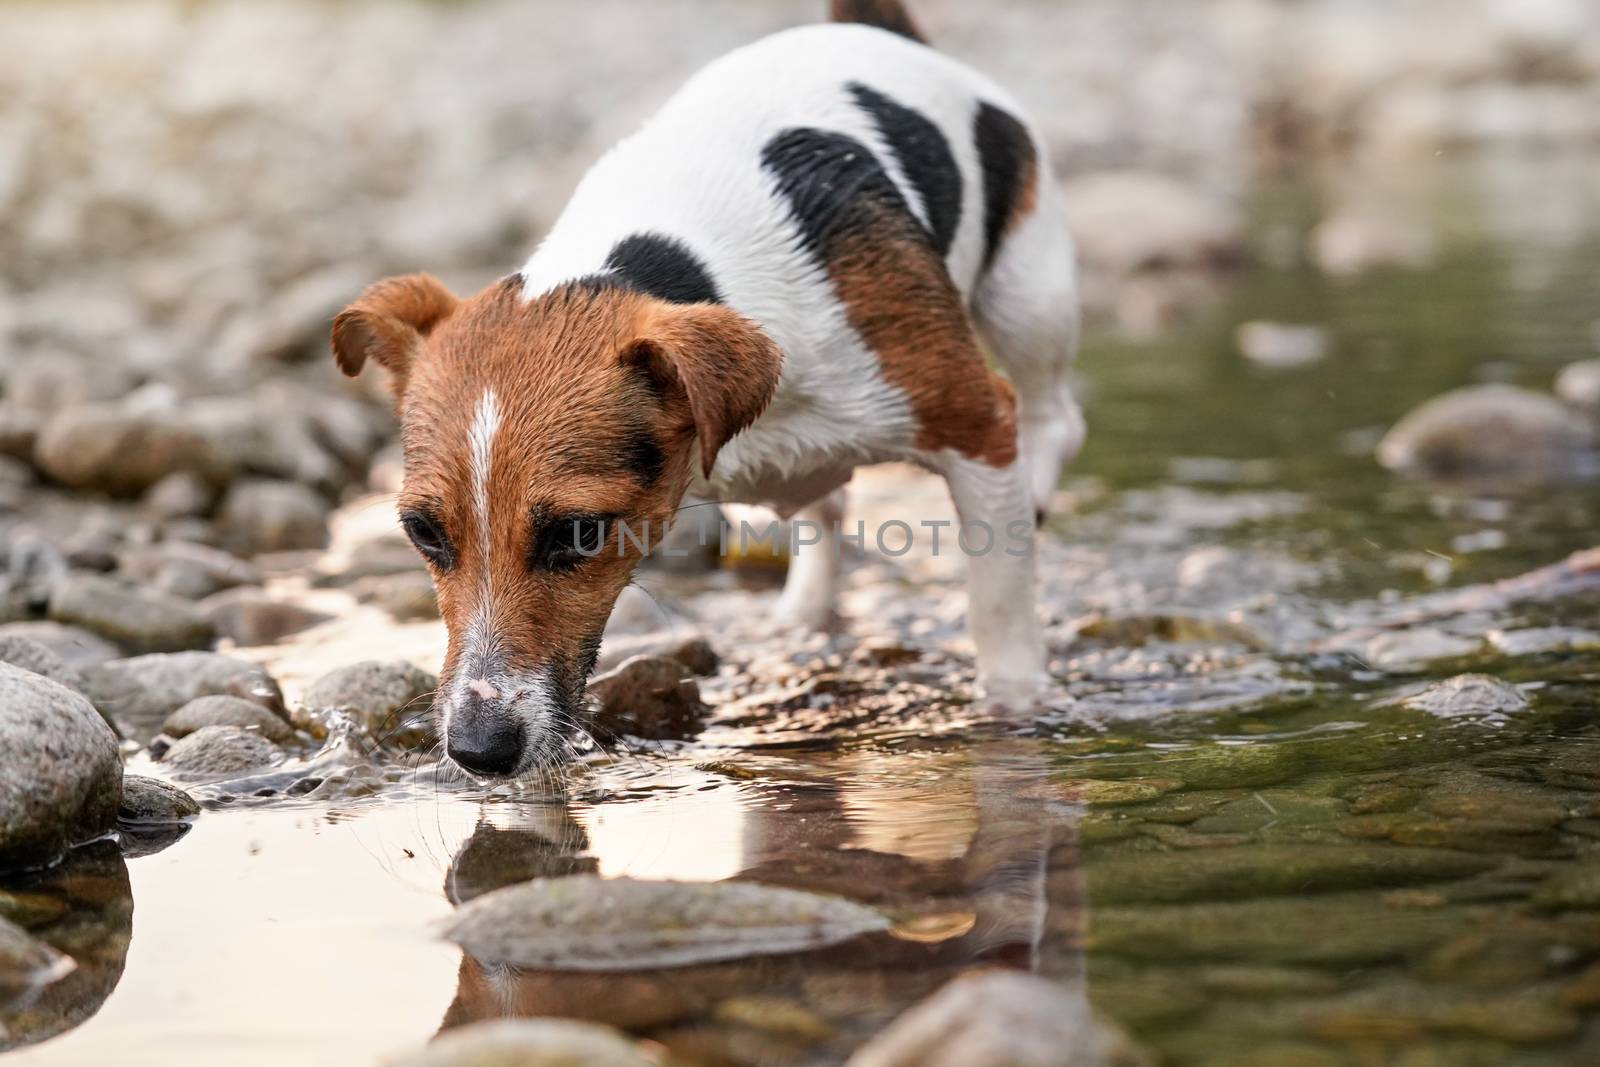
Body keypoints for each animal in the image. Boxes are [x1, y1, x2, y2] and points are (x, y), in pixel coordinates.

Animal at [337, 2, 1088, 783]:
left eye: (579, 533)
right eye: (422, 532)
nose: (479, 751)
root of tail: (868, 27)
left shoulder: (974, 427)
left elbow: (1000, 609)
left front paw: (1014, 709)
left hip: (1029, 297)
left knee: (1055, 415)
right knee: (827, 507)